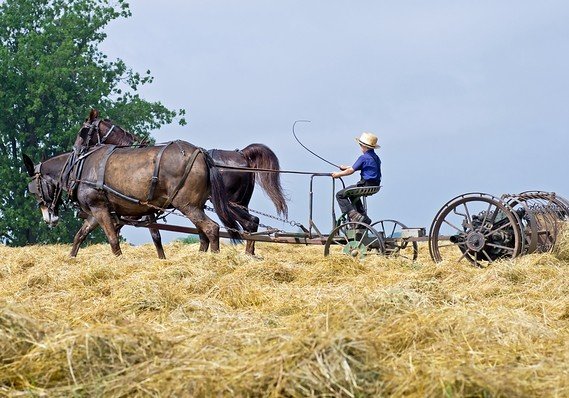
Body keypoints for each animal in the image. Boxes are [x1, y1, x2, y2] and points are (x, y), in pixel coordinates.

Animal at [23, 141, 244, 256]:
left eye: (33, 190)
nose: (49, 219)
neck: (79, 167)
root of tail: (200, 153)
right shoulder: (96, 212)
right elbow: (79, 236)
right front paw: (70, 259)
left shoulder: (99, 208)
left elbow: (113, 240)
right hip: (195, 205)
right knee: (203, 234)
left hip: (188, 205)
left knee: (211, 229)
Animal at [74, 109, 288, 255]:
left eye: (84, 130)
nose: (76, 150)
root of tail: (242, 154)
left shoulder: (141, 212)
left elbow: (153, 236)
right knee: (249, 224)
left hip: (228, 204)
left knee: (249, 223)